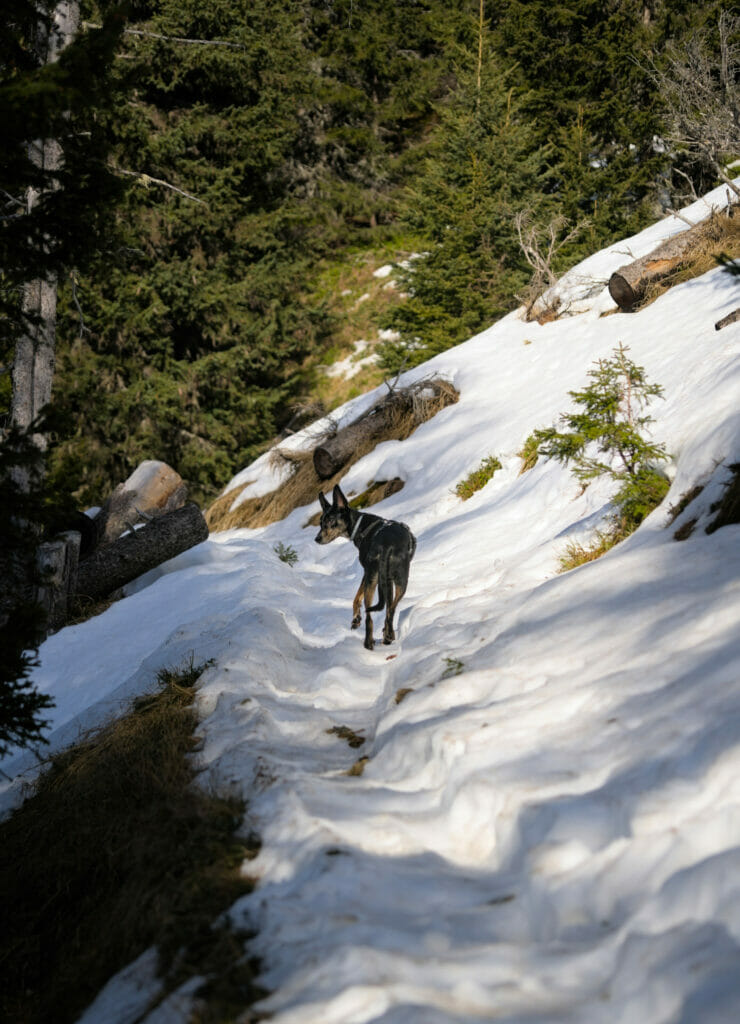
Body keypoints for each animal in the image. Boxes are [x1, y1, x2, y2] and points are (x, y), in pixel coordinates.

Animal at [313, 485, 417, 647]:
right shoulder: (383, 579)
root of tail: (386, 545)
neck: (360, 526)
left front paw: (356, 619)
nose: (317, 539)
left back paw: (372, 641)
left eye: (331, 521)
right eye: (320, 523)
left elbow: (356, 598)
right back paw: (383, 637)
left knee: (375, 613)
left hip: (375, 578)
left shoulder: (367, 573)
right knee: (388, 610)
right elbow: (384, 605)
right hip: (399, 581)